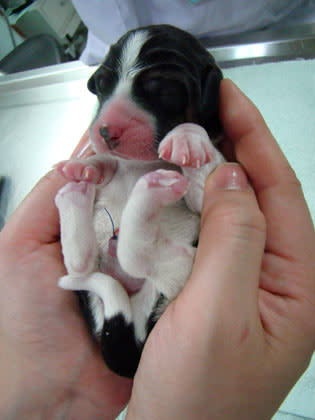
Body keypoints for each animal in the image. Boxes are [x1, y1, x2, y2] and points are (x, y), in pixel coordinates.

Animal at [55, 23, 226, 378]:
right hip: (91, 283)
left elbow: (200, 161)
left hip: (176, 278)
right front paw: (84, 168)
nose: (106, 131)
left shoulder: (205, 190)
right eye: (102, 85)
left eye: (162, 90)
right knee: (80, 263)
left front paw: (186, 139)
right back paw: (75, 195)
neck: (144, 163)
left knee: (138, 254)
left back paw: (150, 193)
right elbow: (105, 163)